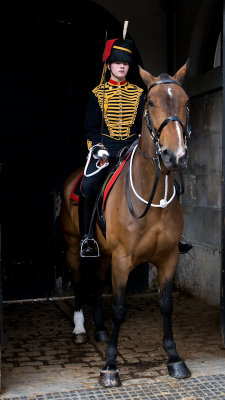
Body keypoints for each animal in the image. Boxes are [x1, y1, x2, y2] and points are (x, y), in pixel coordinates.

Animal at [60, 62, 192, 388]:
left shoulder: (168, 257)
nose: (175, 156)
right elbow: (119, 308)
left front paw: (174, 358)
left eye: (185, 102)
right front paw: (109, 365)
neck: (152, 192)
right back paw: (80, 329)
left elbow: (166, 305)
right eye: (151, 103)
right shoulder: (123, 259)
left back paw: (99, 328)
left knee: (97, 283)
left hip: (105, 253)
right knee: (80, 281)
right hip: (74, 246)